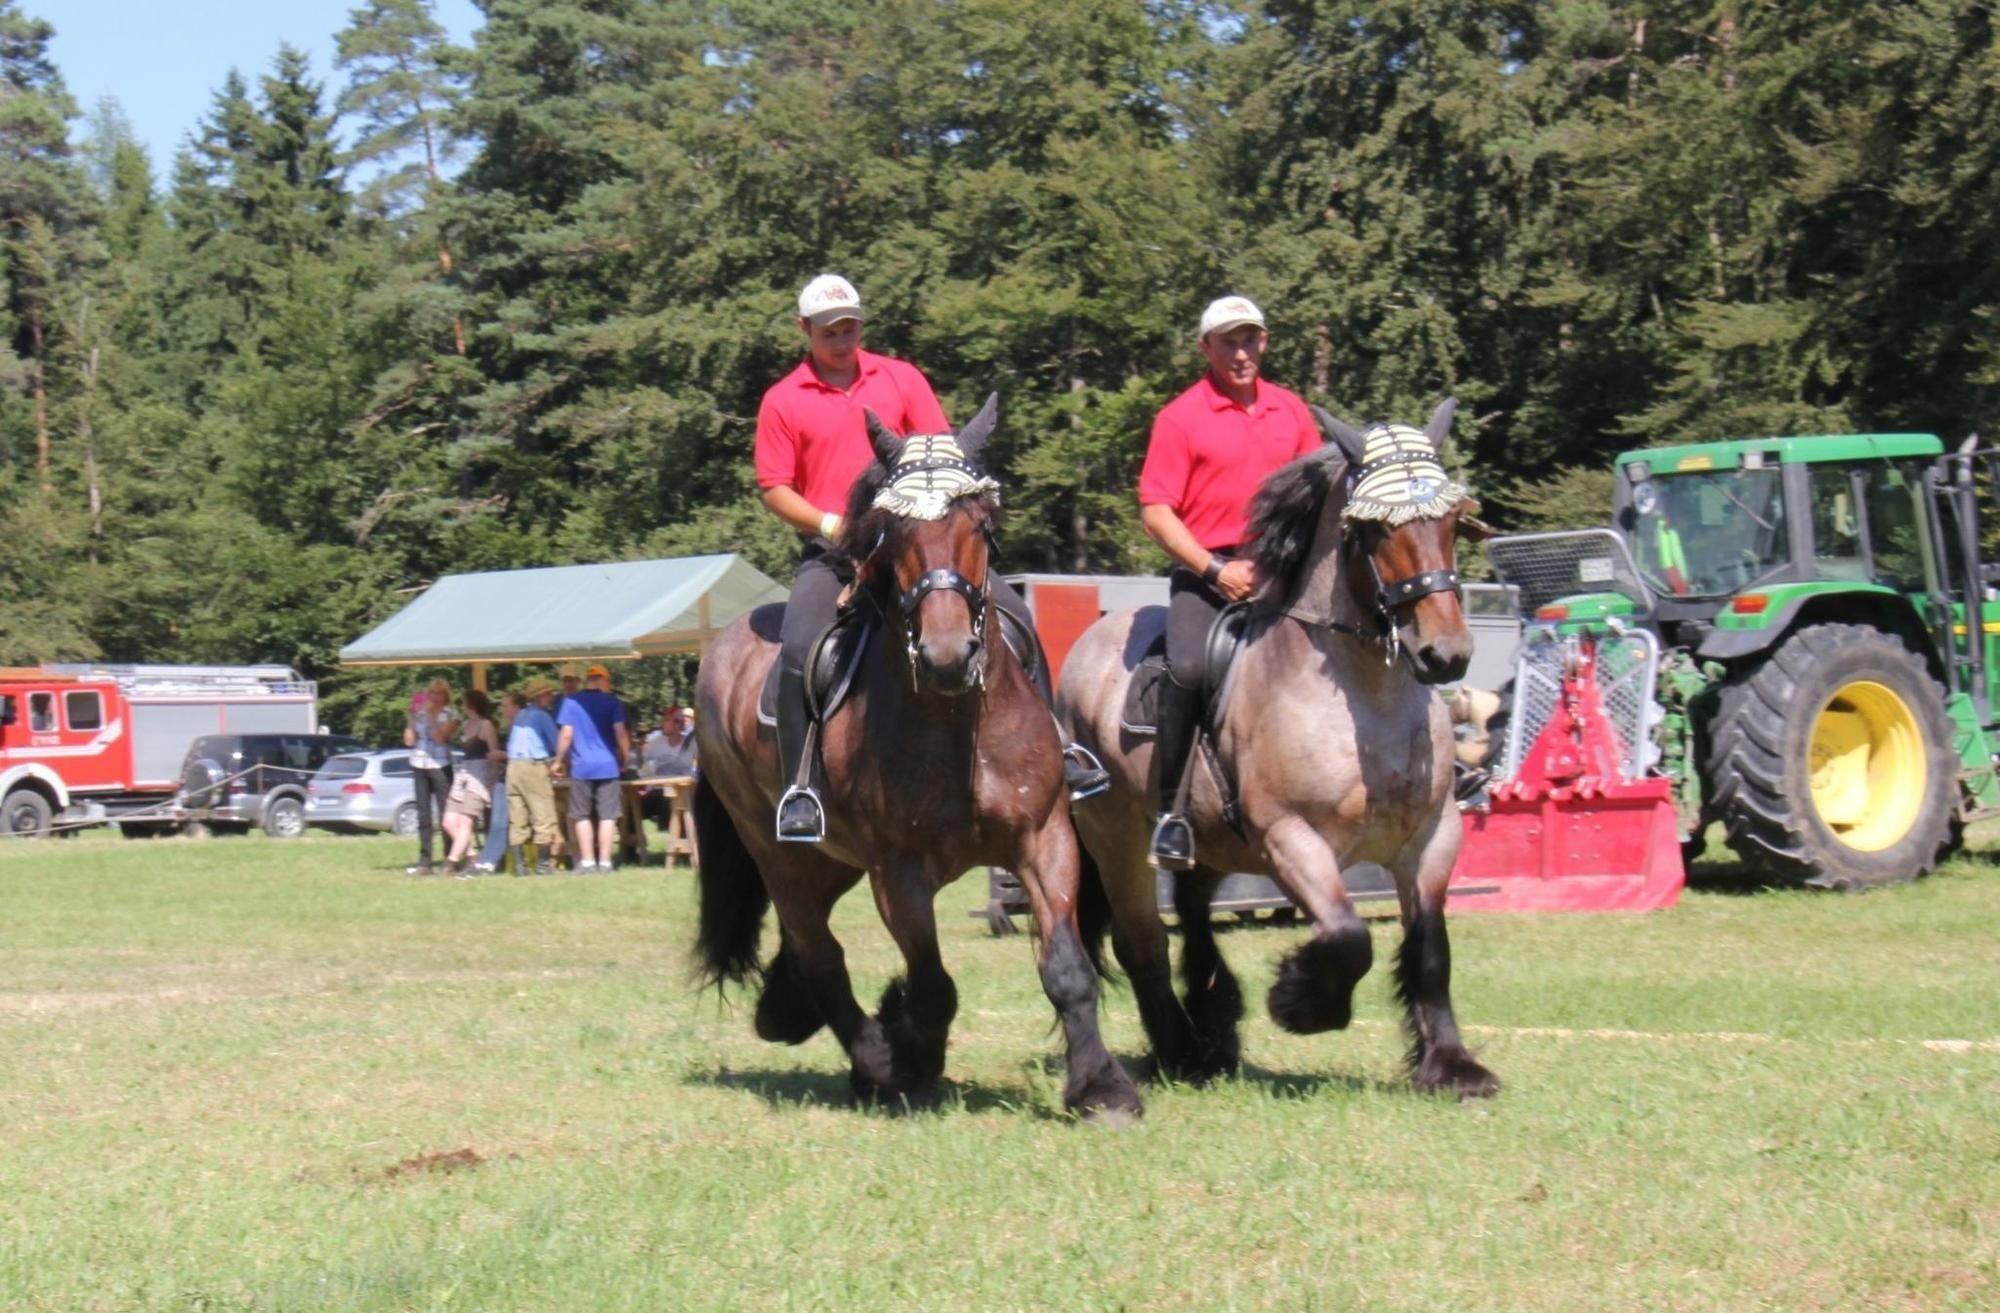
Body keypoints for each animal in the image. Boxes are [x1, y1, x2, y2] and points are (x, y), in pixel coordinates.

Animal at [692, 392, 1144, 1120]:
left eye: (980, 522)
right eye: (892, 531)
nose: (947, 655)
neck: (958, 727)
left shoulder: (1044, 838)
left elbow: (1067, 969)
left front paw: (1101, 1087)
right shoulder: (896, 868)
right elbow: (933, 984)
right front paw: (910, 1058)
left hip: (831, 863)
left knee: (806, 941)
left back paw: (801, 1020)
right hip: (780, 852)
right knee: (818, 949)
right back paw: (874, 1060)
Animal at [1064, 400, 1504, 1096]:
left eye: (1451, 522)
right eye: (1374, 532)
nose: (1446, 654)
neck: (1365, 704)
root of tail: (1086, 645)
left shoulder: (1433, 836)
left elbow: (1431, 949)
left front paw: (1453, 1067)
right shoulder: (1293, 839)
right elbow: (1349, 936)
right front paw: (1300, 1003)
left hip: (1205, 841)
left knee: (1192, 914)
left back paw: (1213, 1032)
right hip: (1114, 836)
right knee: (1142, 942)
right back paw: (1180, 1051)